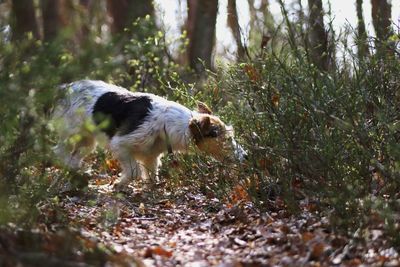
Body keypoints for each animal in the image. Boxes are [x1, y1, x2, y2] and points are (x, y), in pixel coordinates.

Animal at [52, 80, 247, 188]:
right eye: (224, 138)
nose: (245, 155)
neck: (166, 123)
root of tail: (63, 88)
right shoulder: (120, 144)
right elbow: (133, 171)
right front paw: (119, 184)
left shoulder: (151, 157)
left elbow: (151, 176)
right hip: (72, 134)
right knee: (59, 152)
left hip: (87, 141)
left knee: (73, 156)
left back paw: (78, 172)